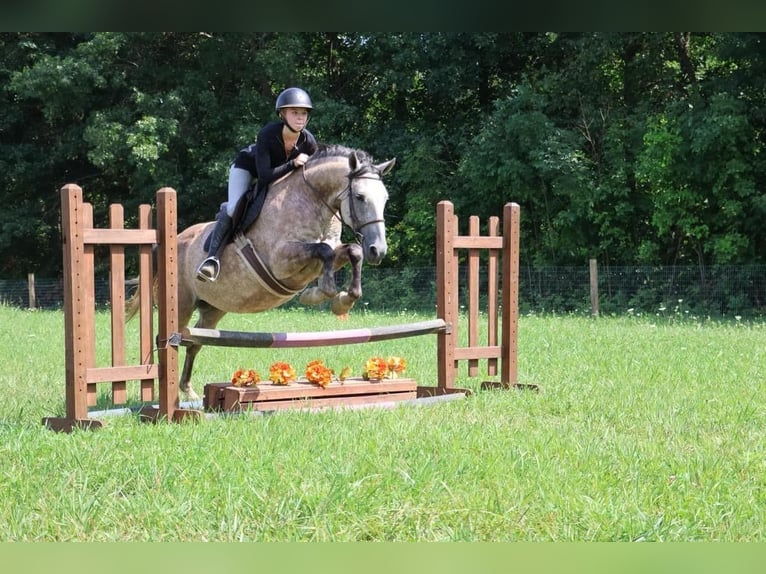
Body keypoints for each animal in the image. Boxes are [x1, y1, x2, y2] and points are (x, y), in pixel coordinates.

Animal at [129, 144, 395, 400]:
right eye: (360, 197)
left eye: (385, 198)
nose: (378, 250)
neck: (312, 201)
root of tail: (176, 239)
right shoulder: (281, 260)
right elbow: (324, 251)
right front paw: (322, 294)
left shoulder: (324, 255)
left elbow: (351, 251)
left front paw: (342, 300)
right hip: (182, 303)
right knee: (172, 338)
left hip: (214, 308)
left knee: (195, 342)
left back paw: (188, 390)